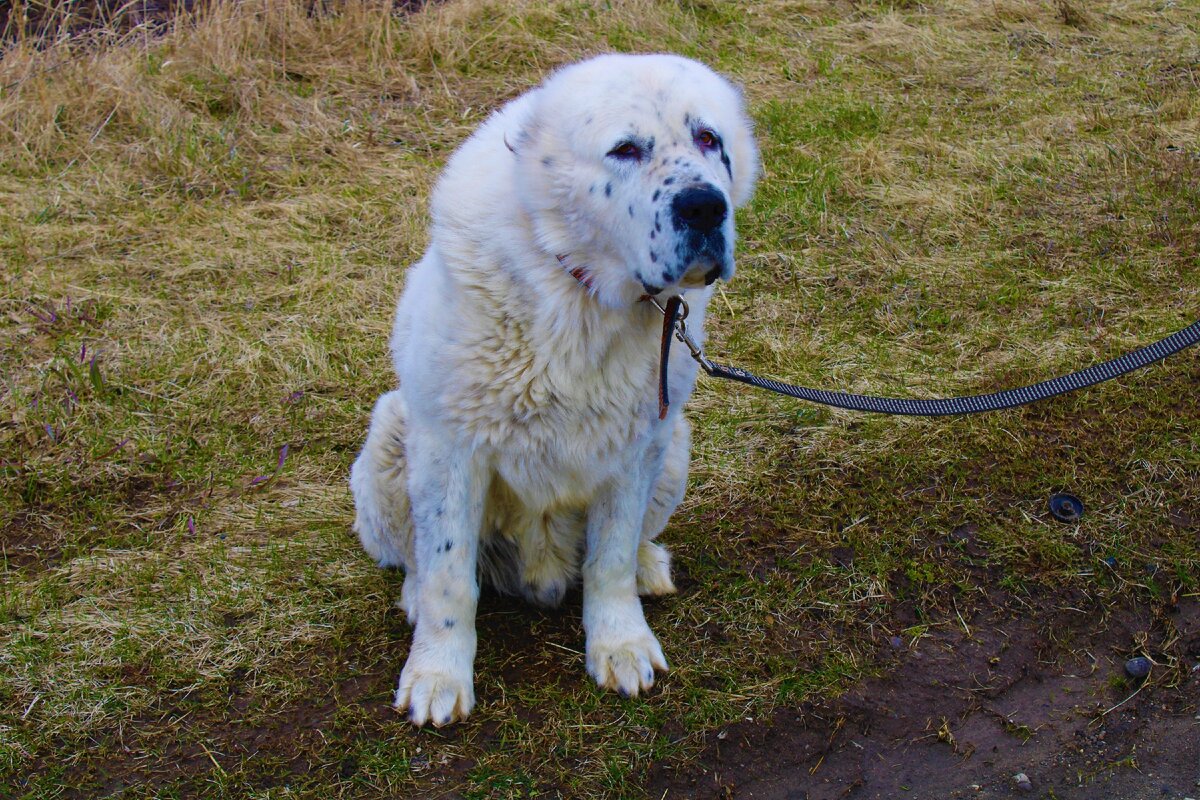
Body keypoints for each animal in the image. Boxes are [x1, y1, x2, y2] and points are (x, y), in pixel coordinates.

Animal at [350, 50, 758, 724]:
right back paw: (412, 595)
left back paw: (648, 565)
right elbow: (448, 575)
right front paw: (438, 674)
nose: (704, 207)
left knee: (628, 542)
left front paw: (620, 644)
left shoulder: (639, 442)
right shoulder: (449, 447)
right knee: (417, 558)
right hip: (390, 435)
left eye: (708, 139)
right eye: (625, 149)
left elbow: (610, 555)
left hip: (675, 445)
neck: (581, 291)